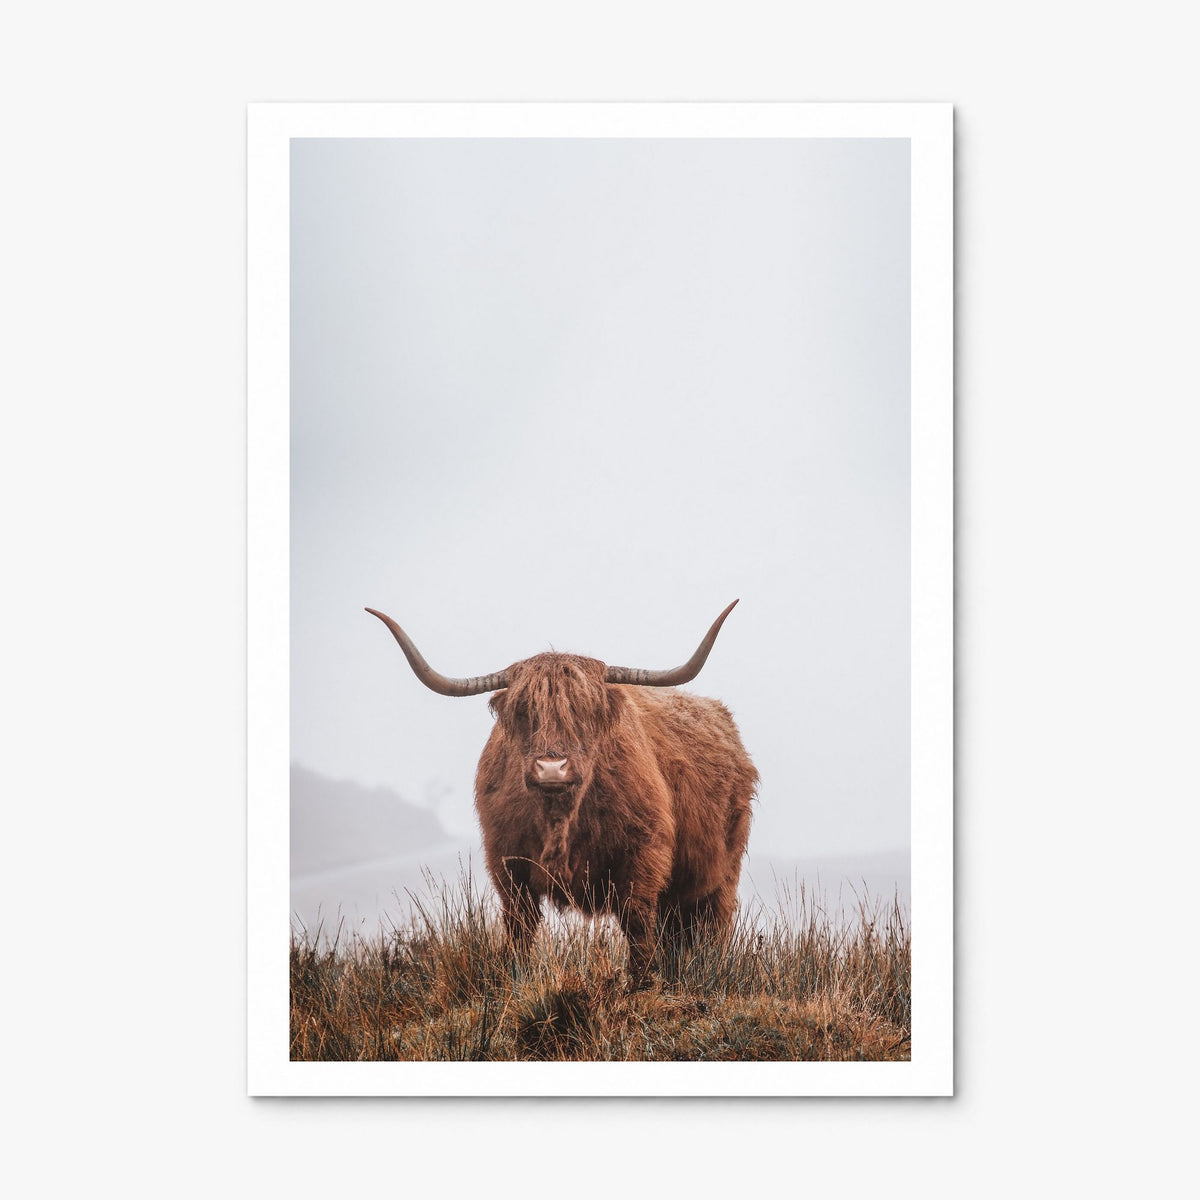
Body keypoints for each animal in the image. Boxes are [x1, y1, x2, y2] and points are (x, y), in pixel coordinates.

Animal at [366, 601, 757, 984]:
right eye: (524, 712)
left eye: (584, 712)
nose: (552, 768)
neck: (561, 819)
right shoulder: (507, 862)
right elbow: (519, 925)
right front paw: (514, 977)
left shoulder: (644, 853)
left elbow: (636, 920)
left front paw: (643, 981)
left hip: (722, 877)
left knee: (709, 927)